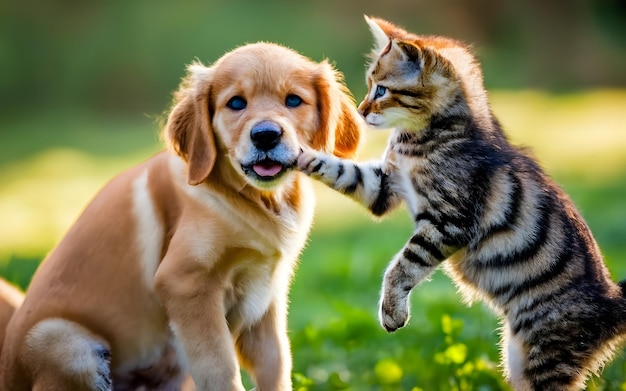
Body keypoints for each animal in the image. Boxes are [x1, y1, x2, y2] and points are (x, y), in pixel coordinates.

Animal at [0, 41, 364, 390]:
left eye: (293, 100)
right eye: (236, 103)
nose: (265, 135)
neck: (254, 199)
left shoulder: (266, 298)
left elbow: (276, 366)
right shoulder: (187, 283)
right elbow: (220, 370)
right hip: (64, 343)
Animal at [298, 16, 624, 391]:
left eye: (380, 90)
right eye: (369, 87)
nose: (361, 111)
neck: (421, 139)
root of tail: (613, 303)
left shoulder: (448, 221)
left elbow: (402, 265)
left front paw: (393, 312)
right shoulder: (383, 186)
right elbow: (342, 171)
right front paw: (298, 153)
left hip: (547, 356)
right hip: (519, 362)